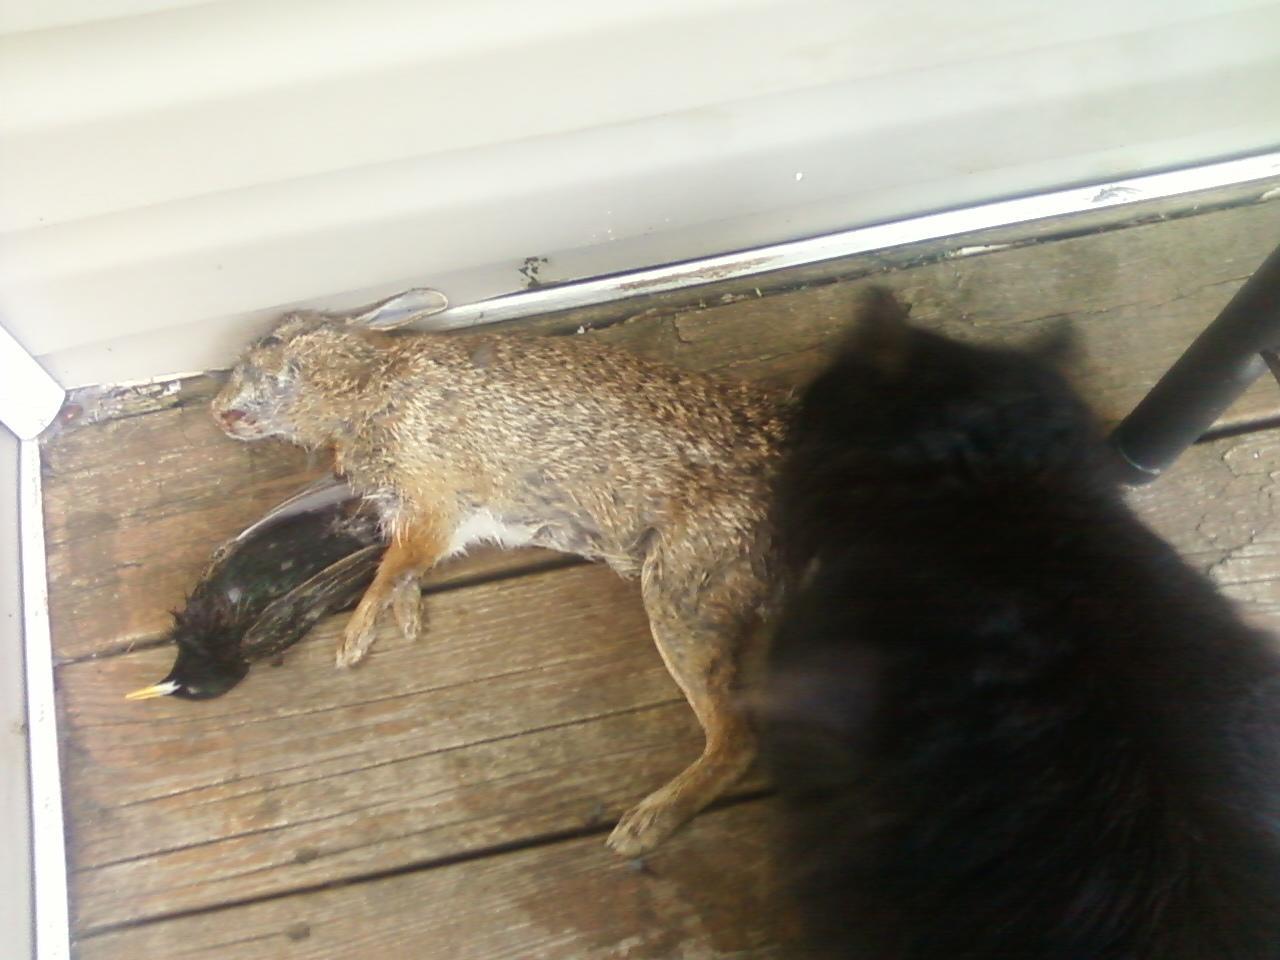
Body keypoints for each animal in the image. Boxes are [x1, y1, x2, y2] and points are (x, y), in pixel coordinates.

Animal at [211, 288, 788, 856]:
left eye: (271, 341)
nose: (218, 412)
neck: (365, 384)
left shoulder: (431, 501)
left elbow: (393, 566)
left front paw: (354, 640)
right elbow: (403, 567)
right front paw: (408, 618)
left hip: (680, 592)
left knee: (735, 741)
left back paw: (641, 827)